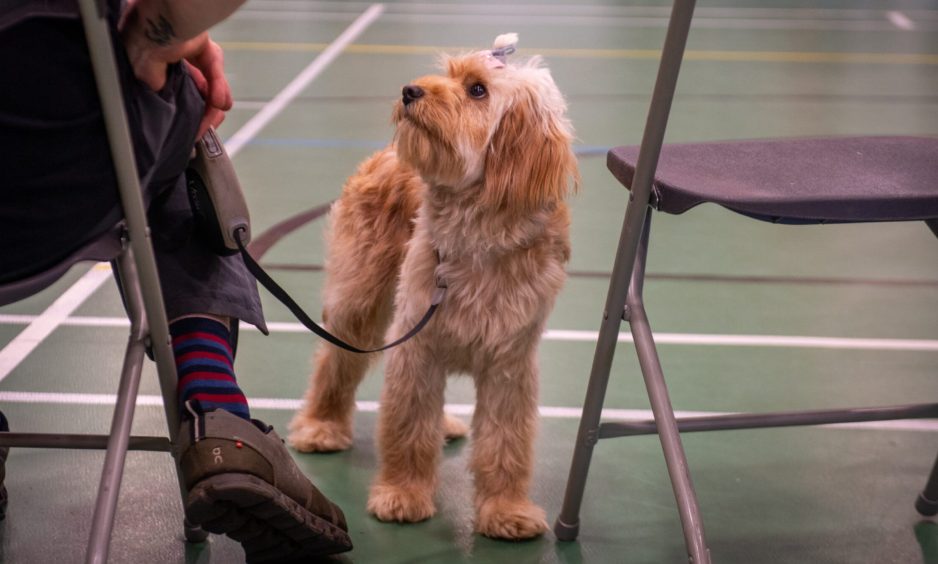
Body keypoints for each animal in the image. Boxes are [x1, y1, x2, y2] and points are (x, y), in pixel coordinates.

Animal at [288, 34, 576, 536]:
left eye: (478, 90)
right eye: (449, 74)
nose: (410, 91)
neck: (478, 230)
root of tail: (387, 153)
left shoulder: (508, 362)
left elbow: (506, 442)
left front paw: (505, 510)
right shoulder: (416, 347)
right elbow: (407, 427)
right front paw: (403, 493)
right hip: (360, 302)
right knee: (334, 362)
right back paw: (320, 426)